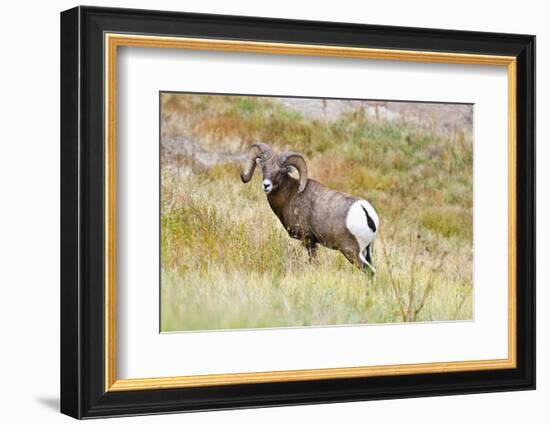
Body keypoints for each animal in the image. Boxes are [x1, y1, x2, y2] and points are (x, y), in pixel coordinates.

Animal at [242, 143, 380, 272]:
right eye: (264, 167)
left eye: (281, 171)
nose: (266, 185)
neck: (290, 195)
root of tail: (366, 213)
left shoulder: (308, 240)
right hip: (366, 252)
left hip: (351, 251)